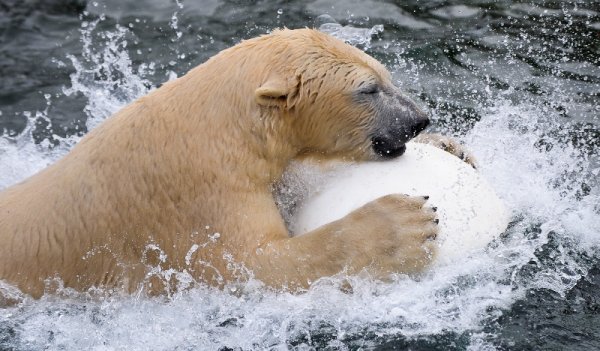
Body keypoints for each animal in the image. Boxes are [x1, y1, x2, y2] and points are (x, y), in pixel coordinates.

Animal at [0, 28, 450, 298]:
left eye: (386, 74)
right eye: (367, 89)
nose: (418, 120)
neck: (217, 125)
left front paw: (451, 144)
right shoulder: (197, 196)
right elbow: (253, 268)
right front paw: (405, 223)